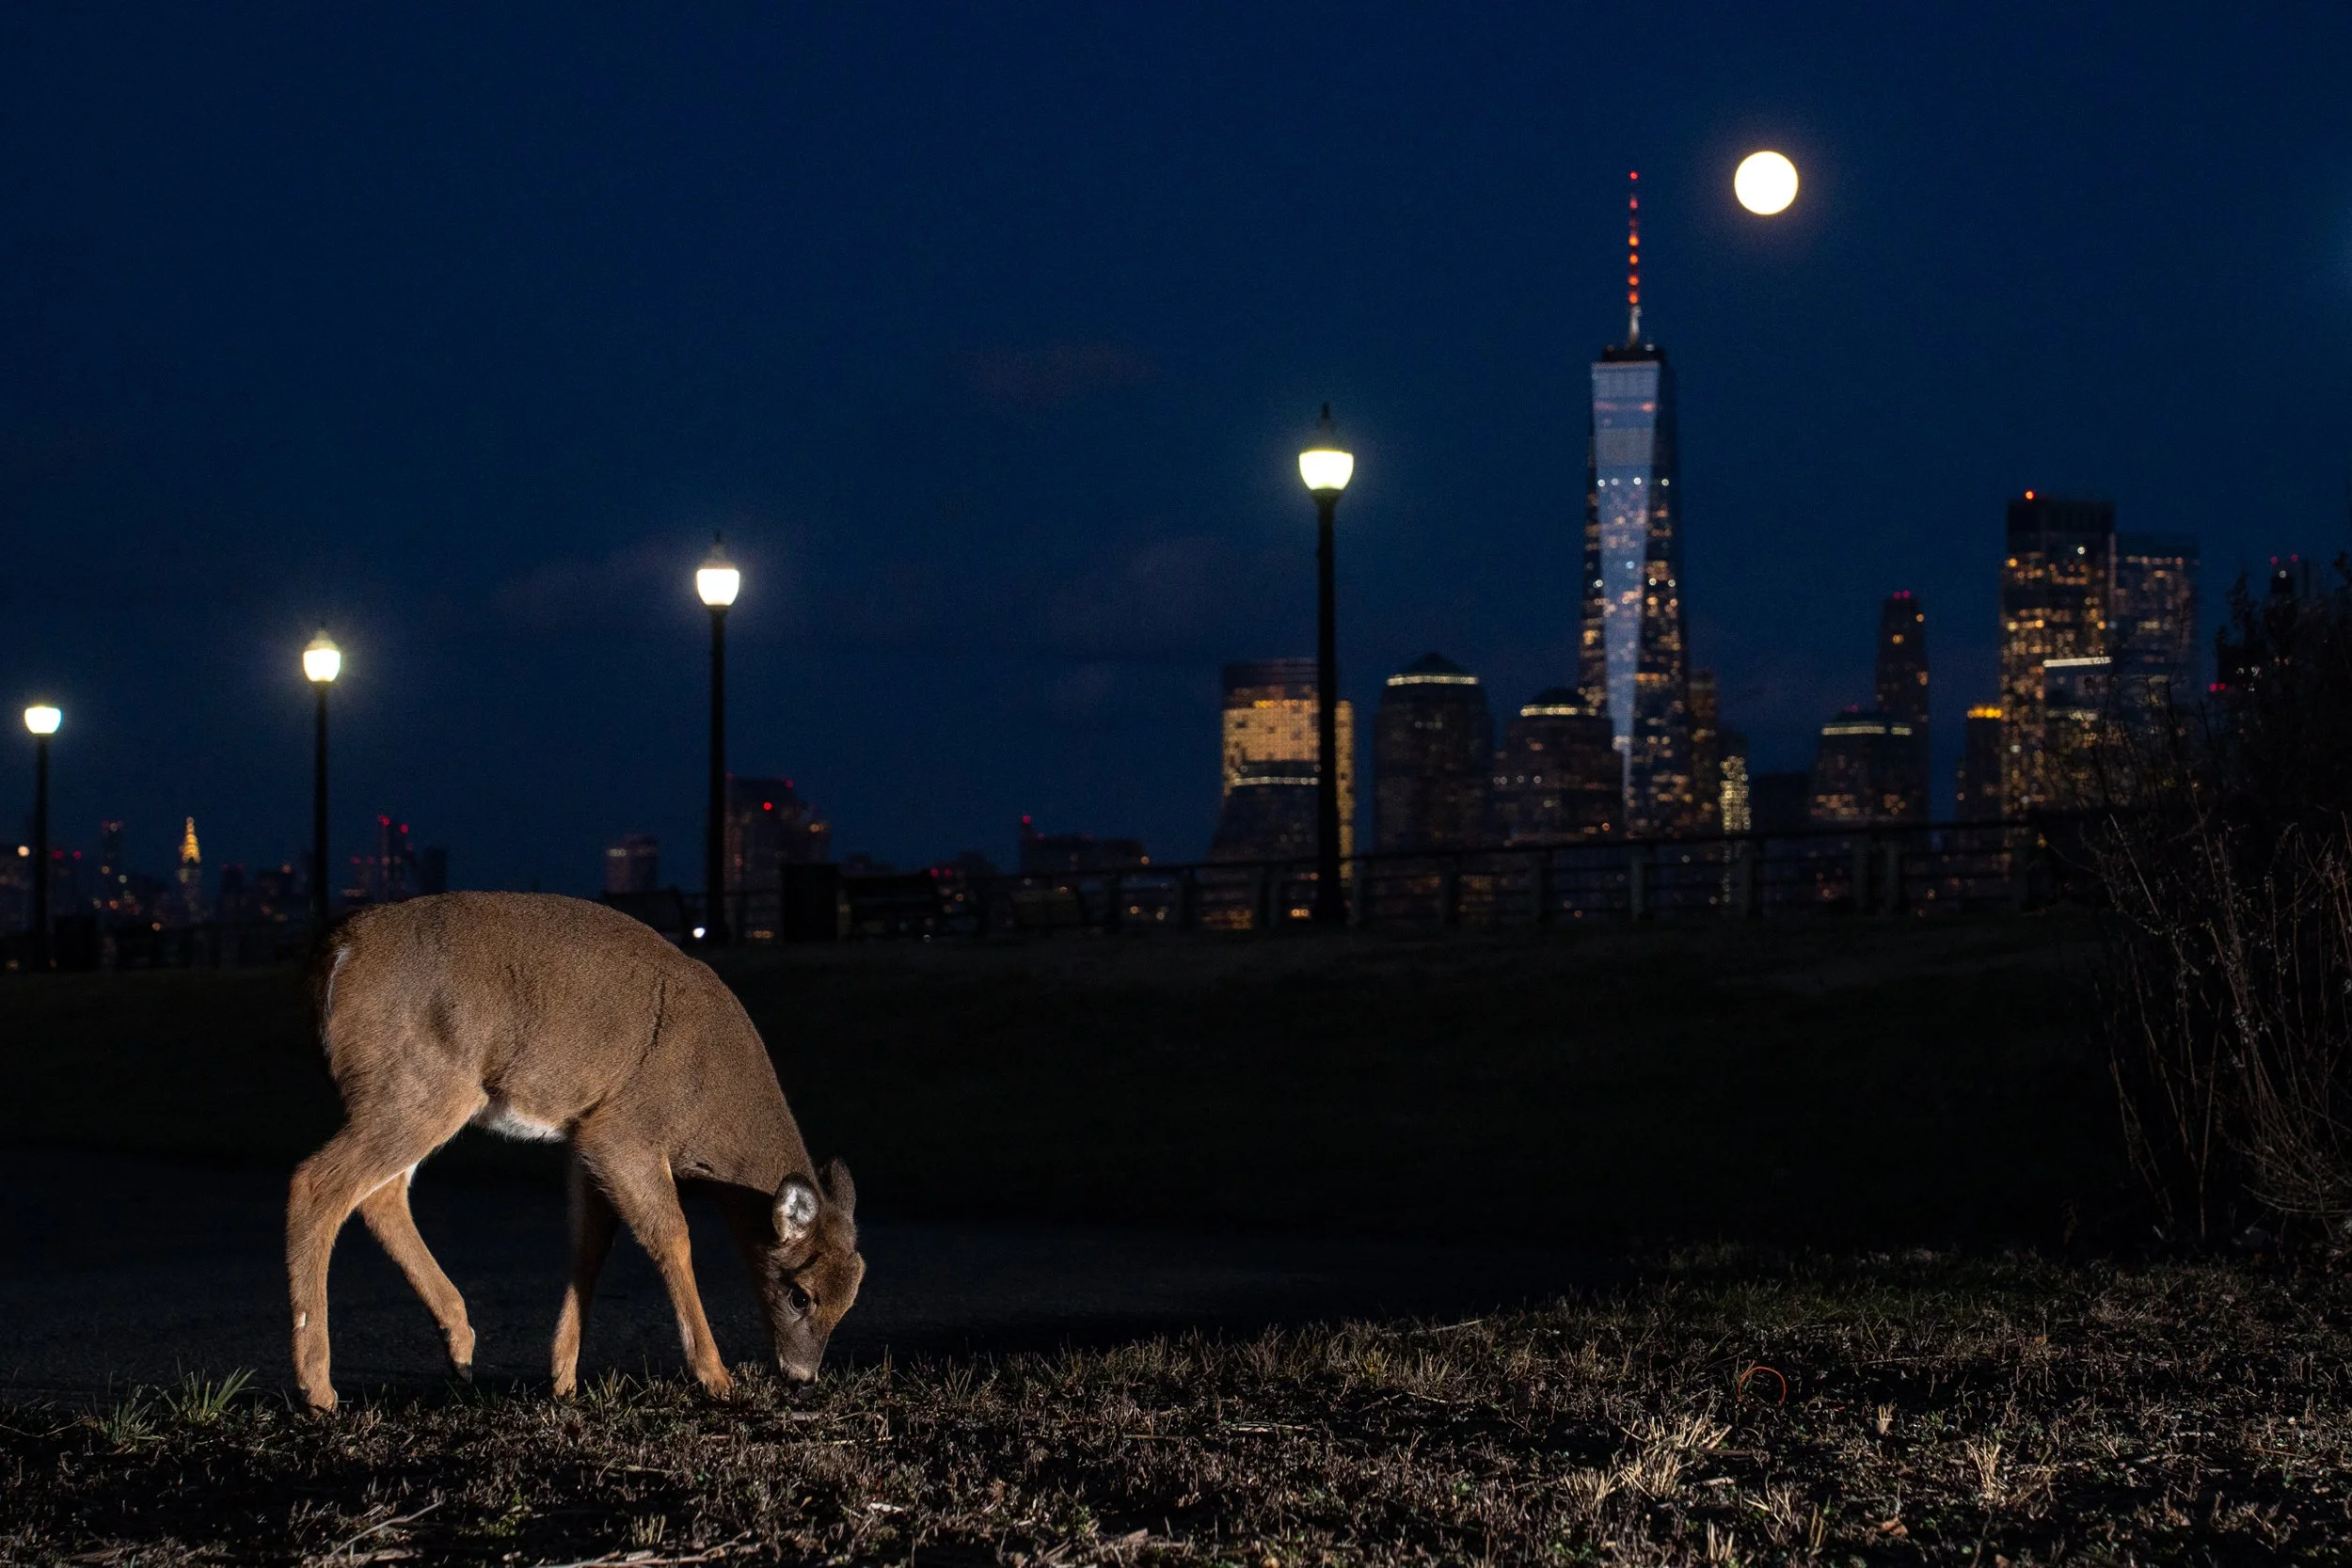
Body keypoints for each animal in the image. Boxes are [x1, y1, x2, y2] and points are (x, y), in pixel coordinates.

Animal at [285, 891, 864, 1412]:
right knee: (316, 1183)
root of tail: (338, 950)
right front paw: (715, 1377)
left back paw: (461, 1347)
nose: (803, 1378)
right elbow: (673, 1238)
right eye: (799, 1293)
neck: (711, 1102)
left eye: (851, 1299)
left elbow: (592, 1244)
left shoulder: (585, 1139)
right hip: (420, 1084)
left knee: (379, 1197)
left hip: (408, 1091)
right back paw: (319, 1390)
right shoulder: (625, 1130)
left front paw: (562, 1378)